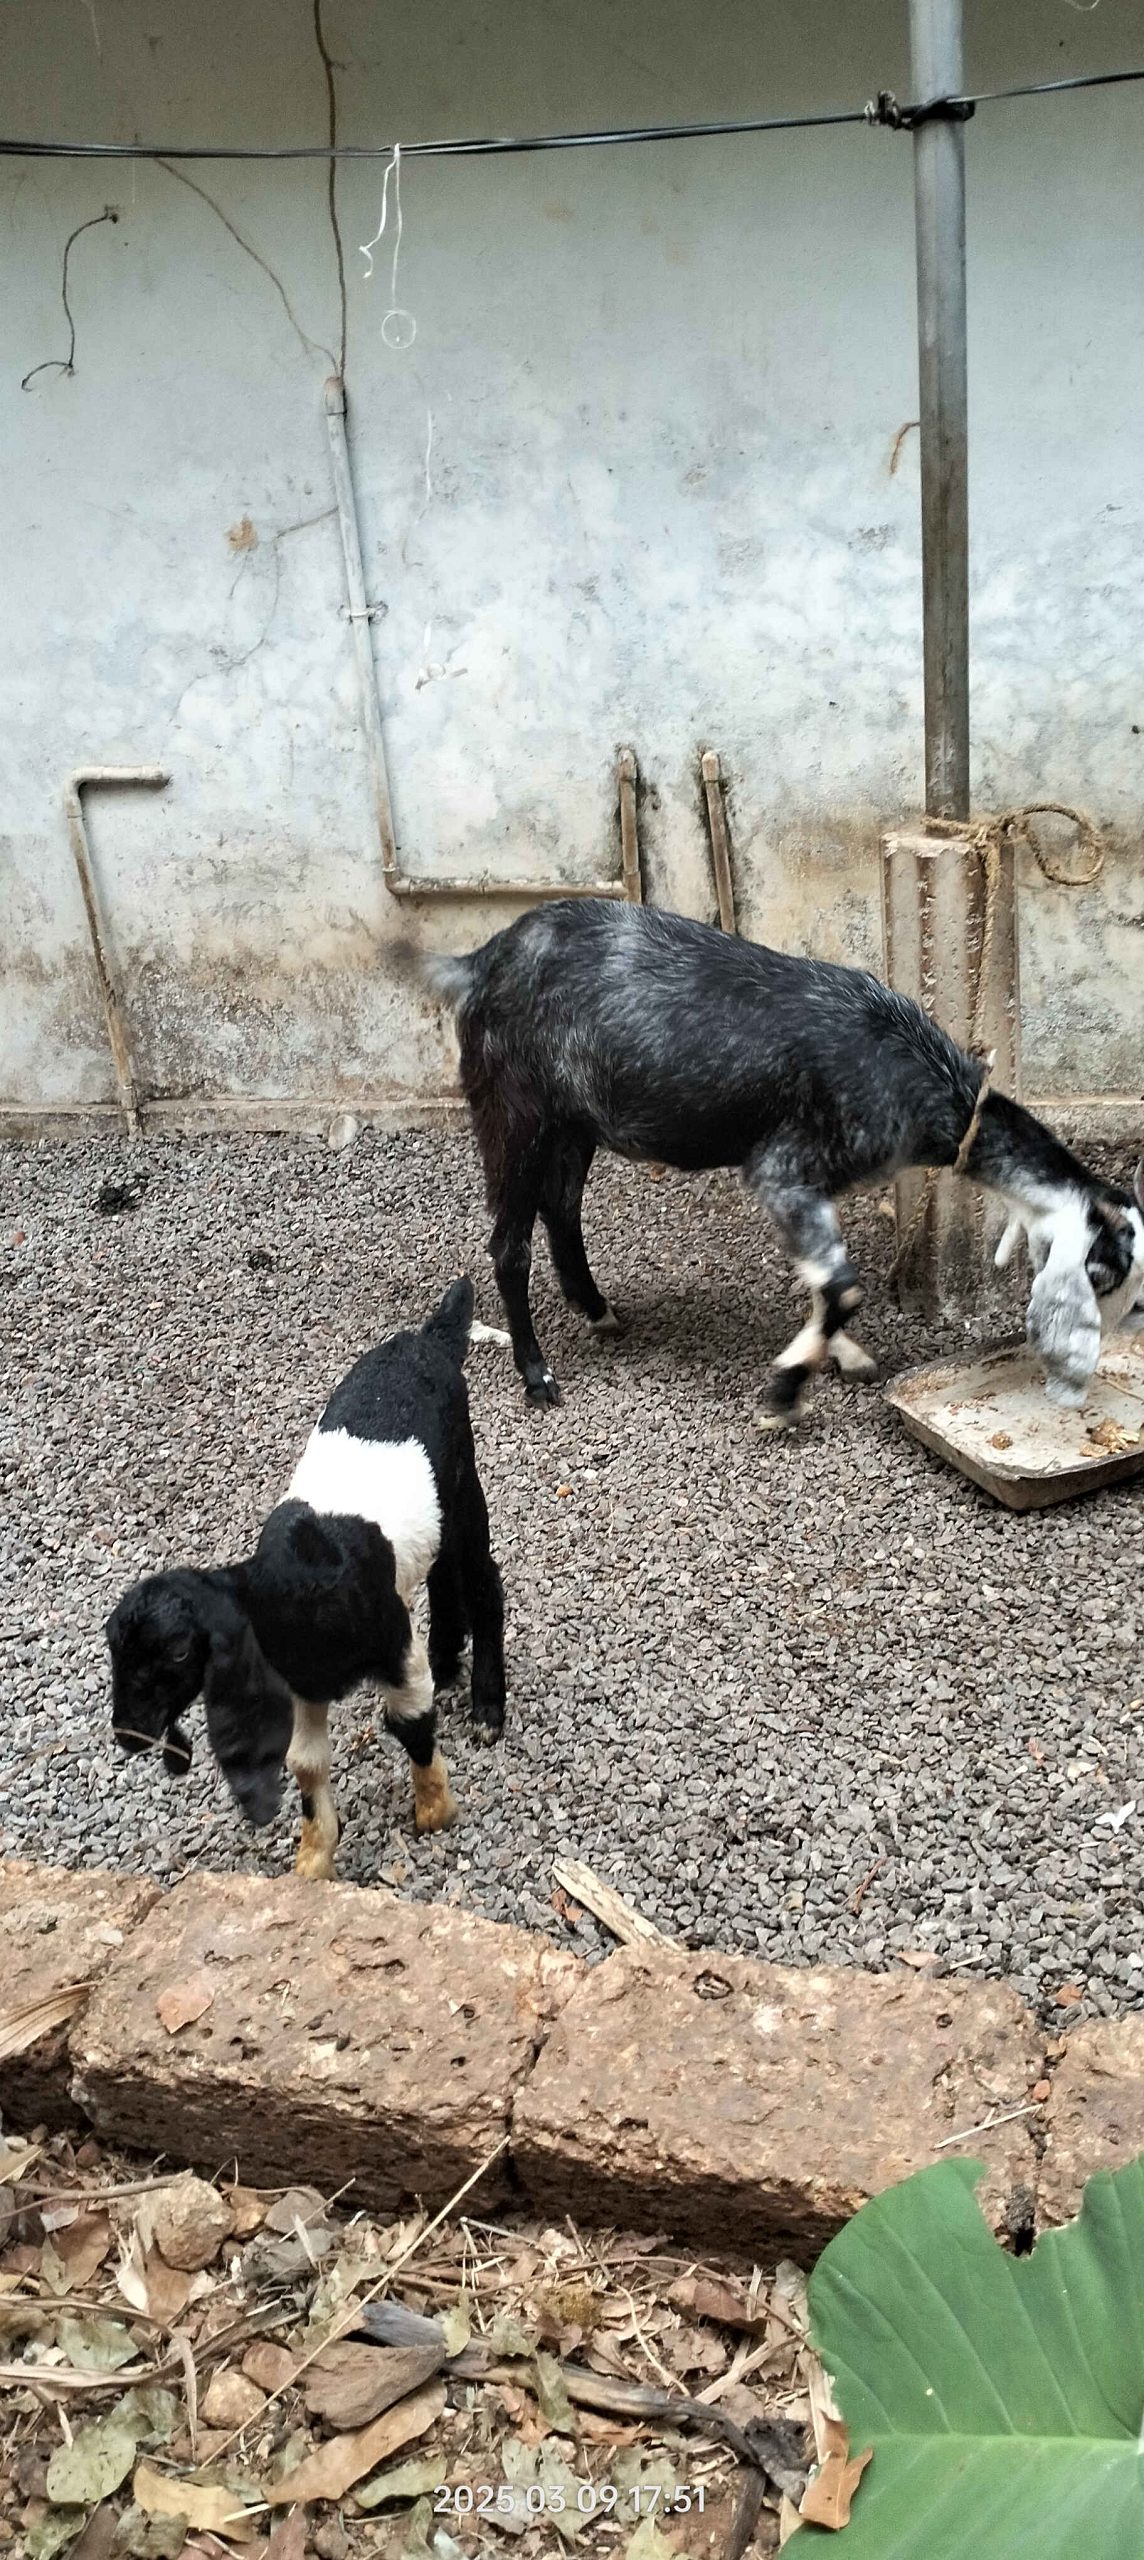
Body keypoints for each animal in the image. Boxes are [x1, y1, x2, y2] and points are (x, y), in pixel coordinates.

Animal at [106, 1278, 507, 1879]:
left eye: (178, 1653)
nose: (127, 1734)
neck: (298, 1585)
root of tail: (428, 1337)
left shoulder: (394, 1649)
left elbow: (410, 1720)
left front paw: (435, 1809)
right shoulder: (300, 1684)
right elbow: (306, 1763)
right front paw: (313, 1860)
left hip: (463, 1485)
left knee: (484, 1580)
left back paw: (487, 1706)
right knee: (440, 1574)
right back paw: (445, 1657)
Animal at [403, 901, 1144, 1422]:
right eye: (1104, 1272)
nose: (1100, 1363)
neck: (927, 1083)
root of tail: (481, 960)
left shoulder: (814, 1186)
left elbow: (822, 1278)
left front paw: (842, 1354)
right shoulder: (782, 1169)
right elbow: (843, 1284)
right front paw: (787, 1390)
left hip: (573, 1120)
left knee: (560, 1208)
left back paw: (598, 1310)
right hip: (511, 1109)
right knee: (509, 1243)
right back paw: (537, 1376)